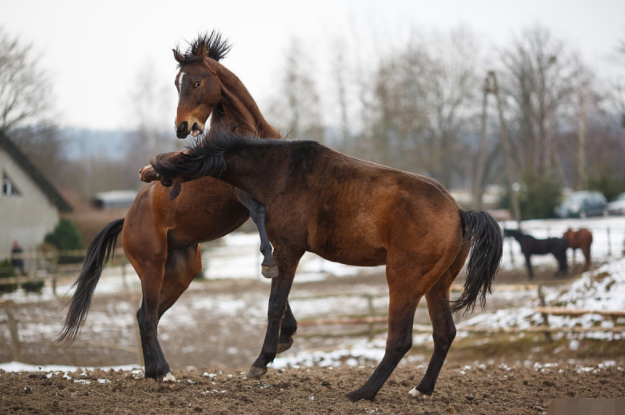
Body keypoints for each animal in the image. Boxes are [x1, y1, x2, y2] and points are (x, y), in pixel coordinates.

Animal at [57, 32, 302, 384]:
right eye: (177, 84)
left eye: (196, 82)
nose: (182, 127)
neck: (249, 131)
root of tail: (126, 220)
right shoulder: (241, 193)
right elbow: (259, 220)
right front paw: (270, 269)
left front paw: (286, 329)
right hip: (152, 266)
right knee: (147, 317)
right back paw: (166, 372)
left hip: (181, 272)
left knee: (146, 315)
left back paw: (152, 372)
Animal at [150, 131, 502, 404]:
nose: (150, 174)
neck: (282, 172)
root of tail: (460, 213)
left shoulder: (289, 252)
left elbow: (275, 306)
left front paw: (262, 361)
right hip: (436, 286)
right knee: (444, 333)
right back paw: (421, 390)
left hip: (404, 282)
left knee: (400, 340)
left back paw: (362, 393)